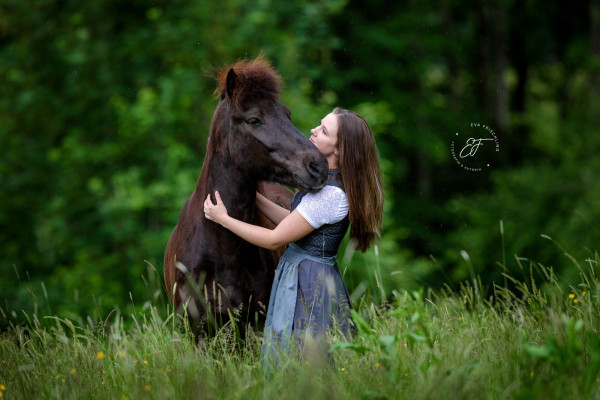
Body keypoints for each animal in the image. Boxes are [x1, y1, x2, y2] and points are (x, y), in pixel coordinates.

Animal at [164, 57, 328, 334]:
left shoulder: (256, 325)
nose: (318, 166)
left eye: (287, 113)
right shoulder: (197, 330)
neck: (223, 250)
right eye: (253, 119)